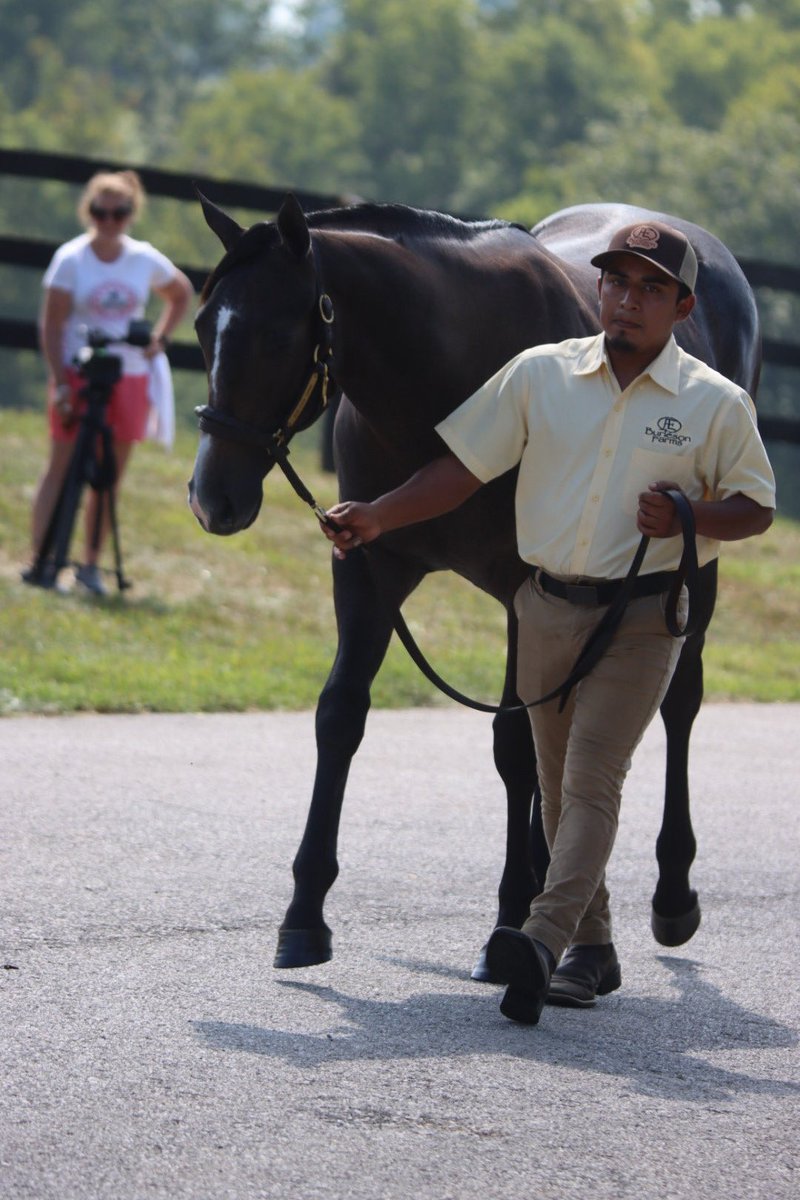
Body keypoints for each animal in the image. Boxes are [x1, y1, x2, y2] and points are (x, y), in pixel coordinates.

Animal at [189, 196, 762, 979]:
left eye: (276, 336)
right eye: (200, 325)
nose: (212, 498)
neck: (443, 388)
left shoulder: (527, 586)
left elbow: (516, 744)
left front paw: (511, 919)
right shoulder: (366, 567)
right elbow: (340, 717)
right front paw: (304, 916)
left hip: (690, 569)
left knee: (676, 705)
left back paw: (669, 894)